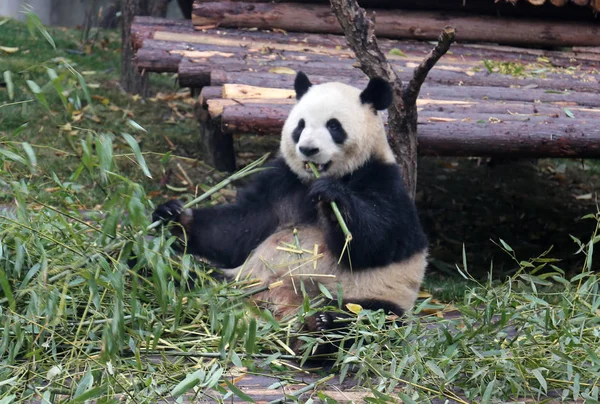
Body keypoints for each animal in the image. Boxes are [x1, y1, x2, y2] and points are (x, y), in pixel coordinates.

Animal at [152, 72, 428, 356]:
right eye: (300, 126)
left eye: (334, 126)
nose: (308, 149)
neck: (315, 180)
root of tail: (279, 307)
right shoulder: (282, 183)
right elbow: (238, 228)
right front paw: (174, 217)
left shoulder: (384, 181)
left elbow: (378, 241)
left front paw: (332, 198)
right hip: (239, 280)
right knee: (189, 274)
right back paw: (157, 265)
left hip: (369, 296)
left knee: (365, 320)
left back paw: (321, 325)